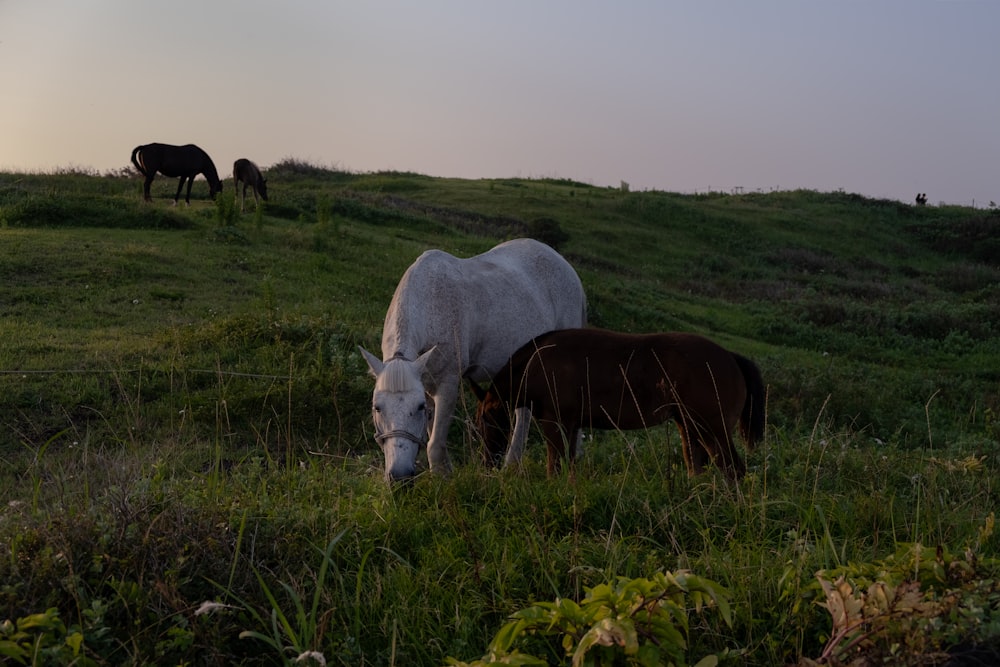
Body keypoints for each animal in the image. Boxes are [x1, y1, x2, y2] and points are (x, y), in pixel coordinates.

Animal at [358, 239, 584, 480]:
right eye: (377, 408)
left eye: (418, 407)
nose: (399, 476)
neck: (431, 302)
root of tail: (566, 266)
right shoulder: (427, 385)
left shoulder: (448, 383)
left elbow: (435, 444)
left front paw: (442, 478)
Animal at [468, 328, 764, 480]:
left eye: (485, 422)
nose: (486, 463)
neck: (537, 362)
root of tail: (730, 357)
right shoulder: (571, 425)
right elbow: (568, 464)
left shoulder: (553, 423)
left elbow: (555, 465)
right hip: (689, 427)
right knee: (698, 467)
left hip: (712, 429)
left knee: (733, 469)